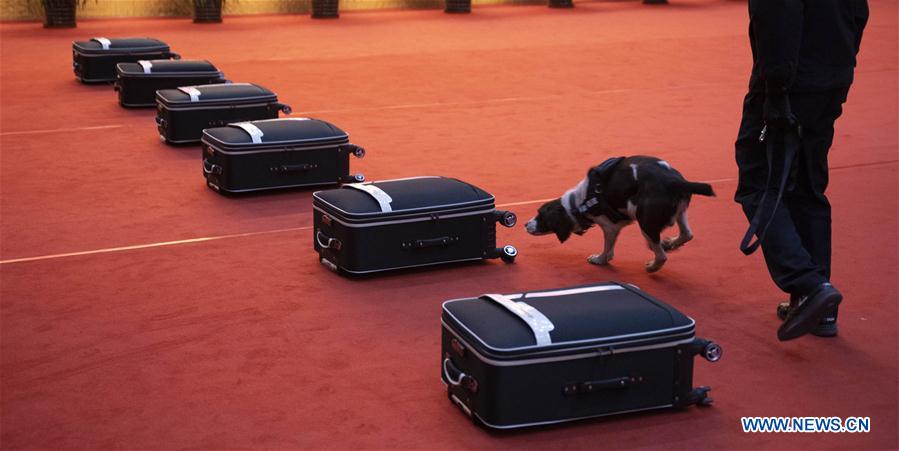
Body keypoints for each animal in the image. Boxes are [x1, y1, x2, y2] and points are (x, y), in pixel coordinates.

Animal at [524, 157, 712, 274]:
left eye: (541, 216)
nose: (525, 224)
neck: (578, 203)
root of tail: (674, 181)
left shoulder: (609, 227)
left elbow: (607, 249)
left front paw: (600, 260)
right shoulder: (615, 227)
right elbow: (611, 248)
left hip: (645, 222)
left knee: (661, 255)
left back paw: (652, 266)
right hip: (679, 212)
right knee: (687, 234)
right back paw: (670, 244)